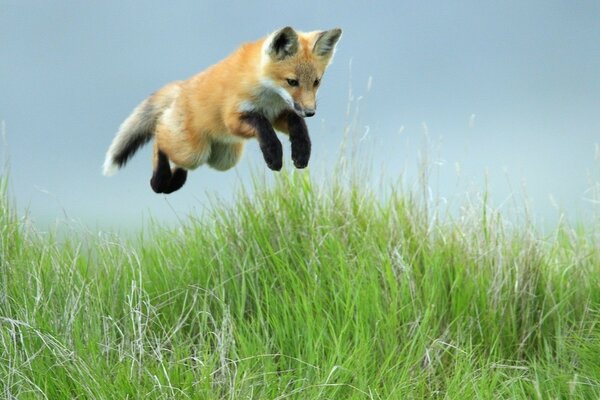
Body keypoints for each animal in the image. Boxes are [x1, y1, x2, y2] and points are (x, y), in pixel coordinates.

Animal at [103, 25, 342, 195]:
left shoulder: (279, 113)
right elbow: (262, 126)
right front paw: (273, 154)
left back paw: (173, 182)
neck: (268, 96)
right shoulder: (234, 118)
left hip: (223, 159)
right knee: (159, 137)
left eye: (316, 82)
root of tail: (180, 86)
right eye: (292, 82)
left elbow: (297, 125)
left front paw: (301, 151)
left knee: (179, 160)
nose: (311, 112)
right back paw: (158, 180)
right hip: (192, 151)